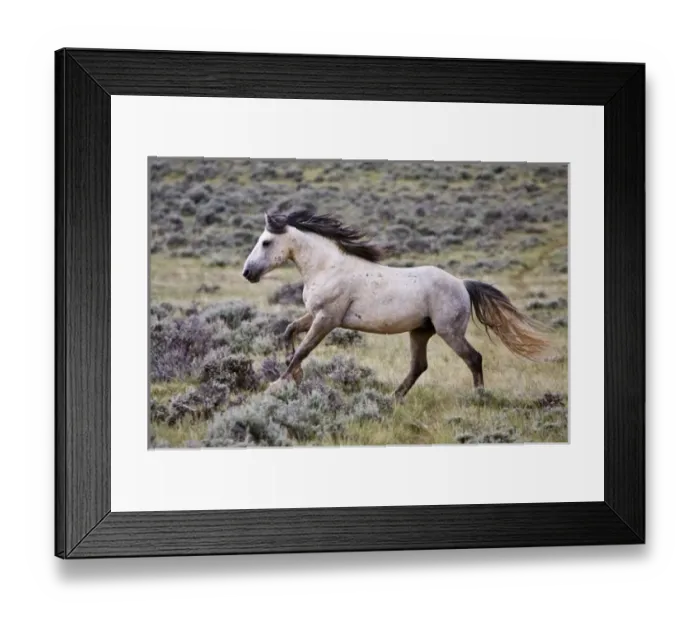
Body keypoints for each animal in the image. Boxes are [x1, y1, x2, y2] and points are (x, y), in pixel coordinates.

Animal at [241, 208, 550, 399]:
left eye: (266, 242)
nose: (247, 273)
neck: (327, 267)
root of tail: (462, 284)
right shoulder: (316, 314)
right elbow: (289, 331)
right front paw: (293, 375)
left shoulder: (327, 319)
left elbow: (304, 350)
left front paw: (277, 384)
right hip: (420, 332)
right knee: (419, 367)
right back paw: (394, 398)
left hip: (449, 332)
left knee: (473, 358)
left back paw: (479, 396)